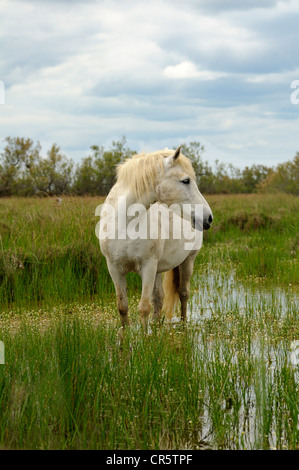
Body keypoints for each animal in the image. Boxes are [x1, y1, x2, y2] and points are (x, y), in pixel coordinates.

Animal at [99, 145, 214, 328]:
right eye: (185, 181)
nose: (208, 218)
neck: (124, 223)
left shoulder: (148, 266)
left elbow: (144, 308)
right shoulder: (114, 268)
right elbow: (123, 307)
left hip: (187, 261)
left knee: (183, 293)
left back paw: (183, 325)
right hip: (158, 269)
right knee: (159, 298)